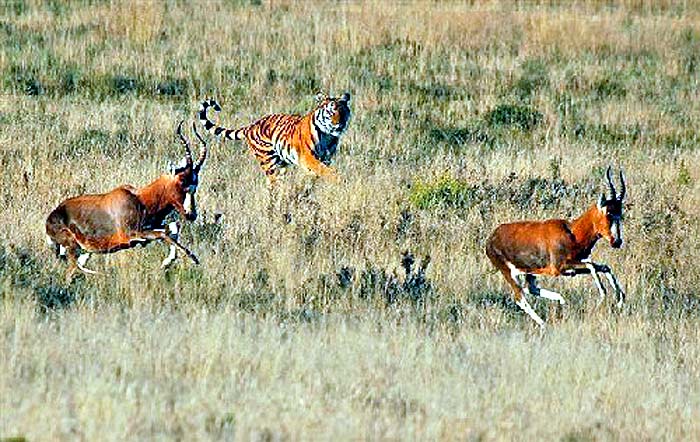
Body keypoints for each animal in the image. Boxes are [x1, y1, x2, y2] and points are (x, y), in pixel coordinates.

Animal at [199, 92, 351, 186]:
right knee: (273, 184)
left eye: (343, 111)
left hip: (281, 164)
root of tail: (251, 125)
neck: (328, 135)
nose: (340, 124)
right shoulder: (308, 157)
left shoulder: (326, 158)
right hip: (269, 163)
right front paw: (338, 180)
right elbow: (323, 170)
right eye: (331, 112)